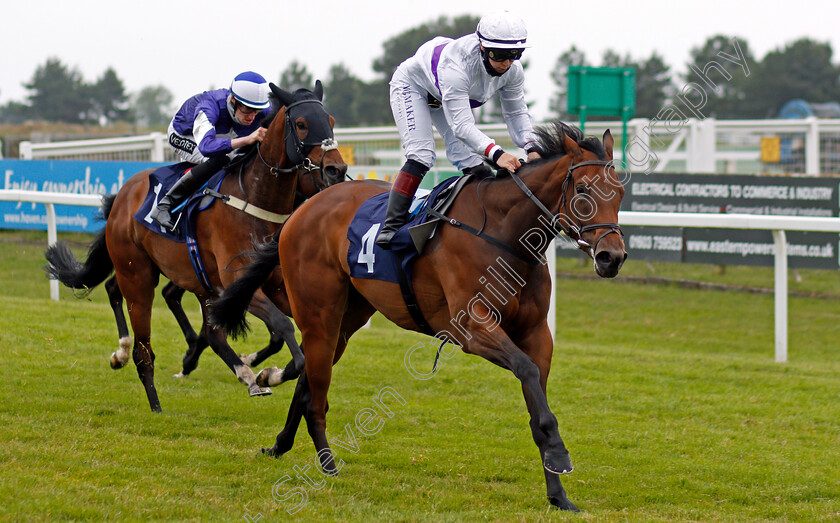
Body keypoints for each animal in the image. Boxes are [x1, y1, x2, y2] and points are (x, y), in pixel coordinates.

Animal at [45, 82, 348, 414]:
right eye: (302, 124)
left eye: (331, 121)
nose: (336, 169)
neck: (254, 199)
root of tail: (123, 194)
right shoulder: (235, 282)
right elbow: (282, 326)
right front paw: (267, 372)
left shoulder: (272, 284)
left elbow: (287, 335)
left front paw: (265, 372)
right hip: (138, 273)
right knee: (143, 343)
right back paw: (154, 400)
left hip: (184, 277)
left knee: (136, 298)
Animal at [213, 124, 628, 512]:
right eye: (583, 191)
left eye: (620, 193)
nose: (612, 257)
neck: (506, 234)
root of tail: (301, 210)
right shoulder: (473, 328)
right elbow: (526, 373)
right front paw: (560, 455)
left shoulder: (537, 333)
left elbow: (536, 399)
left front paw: (558, 492)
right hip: (319, 314)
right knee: (316, 390)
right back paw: (326, 463)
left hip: (347, 320)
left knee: (310, 381)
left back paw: (281, 440)